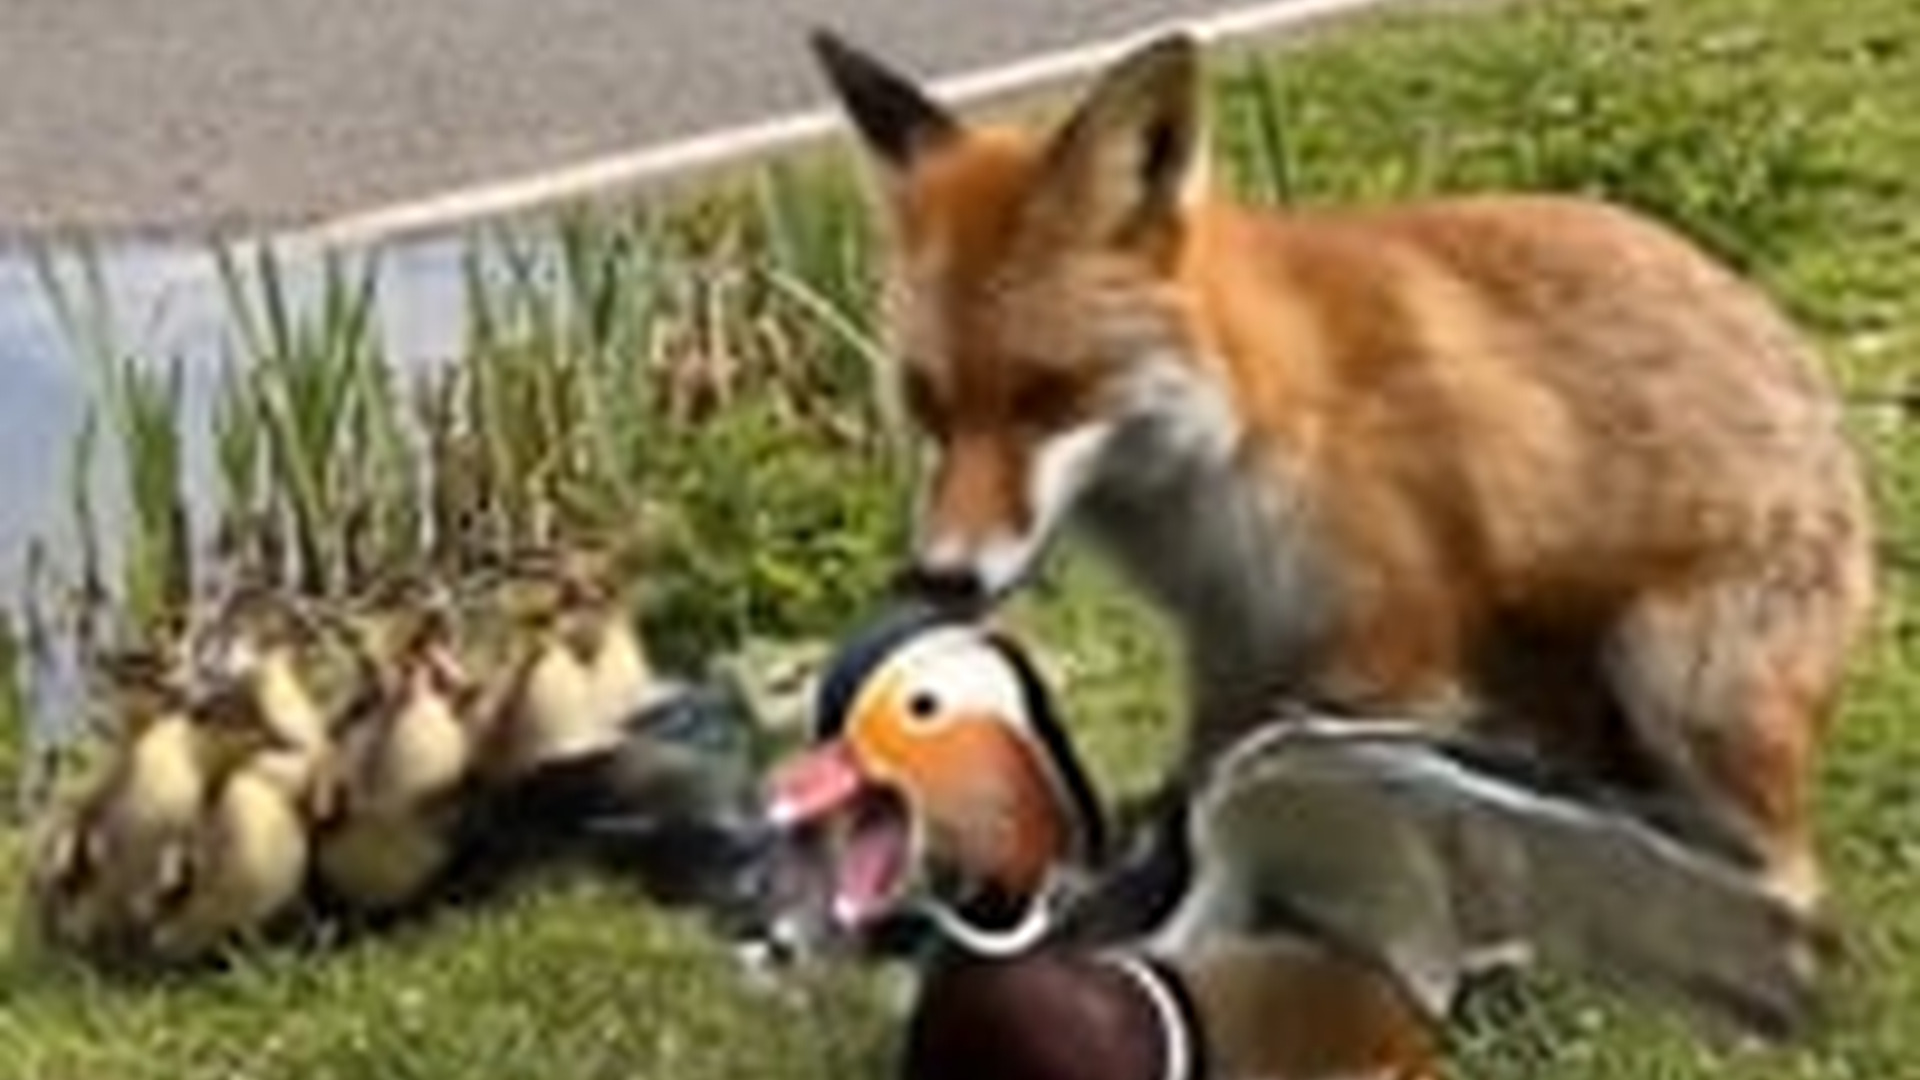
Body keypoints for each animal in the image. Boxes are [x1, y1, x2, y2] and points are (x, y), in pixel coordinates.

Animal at [805, 27, 1876, 915]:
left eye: (1046, 394)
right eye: (928, 407)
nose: (939, 579)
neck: (1226, 458)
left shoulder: (1385, 649)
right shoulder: (1234, 640)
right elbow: (1198, 795)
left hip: (1674, 671)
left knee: (1787, 873)